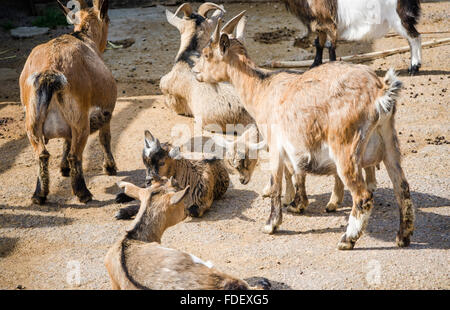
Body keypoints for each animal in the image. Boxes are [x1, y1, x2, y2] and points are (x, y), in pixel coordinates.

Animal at [19, 0, 118, 205]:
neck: (84, 37)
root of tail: (50, 70)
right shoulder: (106, 110)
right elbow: (104, 138)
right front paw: (110, 167)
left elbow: (65, 140)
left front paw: (63, 168)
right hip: (80, 120)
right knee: (75, 154)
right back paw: (83, 193)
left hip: (32, 120)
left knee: (42, 153)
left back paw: (39, 194)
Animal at [193, 12, 414, 251]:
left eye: (207, 54)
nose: (195, 72)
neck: (263, 89)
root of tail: (380, 92)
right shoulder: (294, 146)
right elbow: (297, 173)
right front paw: (298, 204)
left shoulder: (276, 145)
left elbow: (277, 183)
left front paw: (272, 224)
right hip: (389, 142)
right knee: (402, 187)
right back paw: (403, 237)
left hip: (346, 147)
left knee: (363, 196)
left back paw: (347, 239)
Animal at [284, 0, 424, 74]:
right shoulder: (320, 25)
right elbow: (319, 44)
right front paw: (314, 66)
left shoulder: (330, 24)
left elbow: (330, 46)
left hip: (399, 17)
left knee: (415, 37)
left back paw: (414, 67)